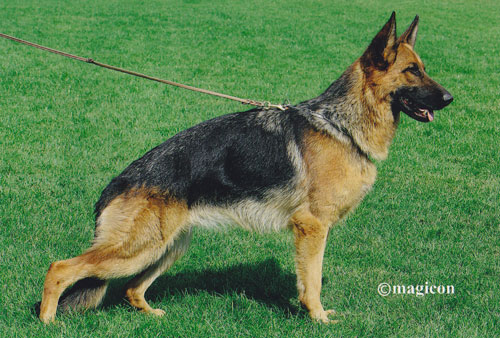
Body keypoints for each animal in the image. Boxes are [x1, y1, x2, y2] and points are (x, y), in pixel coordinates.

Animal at [39, 12, 454, 324]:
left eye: (423, 69)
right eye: (411, 71)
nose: (450, 97)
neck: (341, 126)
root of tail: (117, 183)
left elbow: (309, 281)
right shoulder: (312, 227)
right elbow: (313, 281)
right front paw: (318, 319)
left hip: (168, 246)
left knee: (130, 288)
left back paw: (151, 314)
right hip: (136, 249)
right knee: (60, 268)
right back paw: (47, 322)